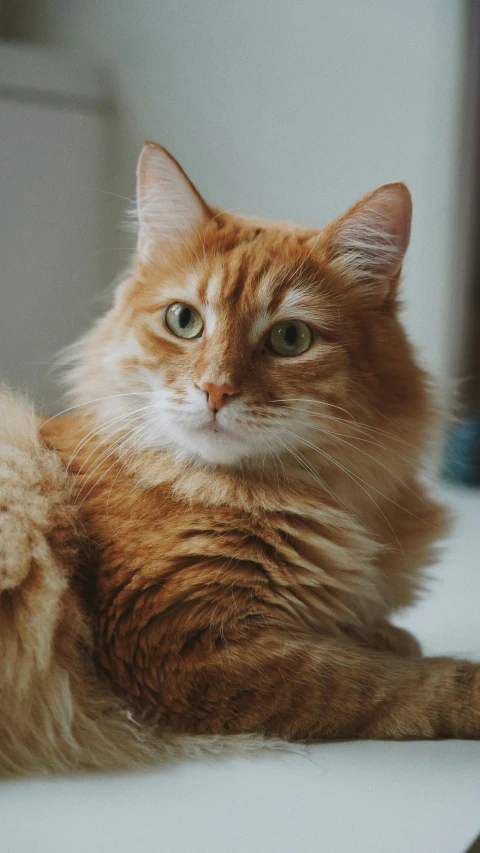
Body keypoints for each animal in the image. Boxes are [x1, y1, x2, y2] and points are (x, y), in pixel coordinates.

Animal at [1, 143, 478, 776]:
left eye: (291, 339)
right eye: (184, 321)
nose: (215, 390)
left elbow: (369, 642)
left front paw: (385, 633)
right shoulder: (176, 646)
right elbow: (384, 681)